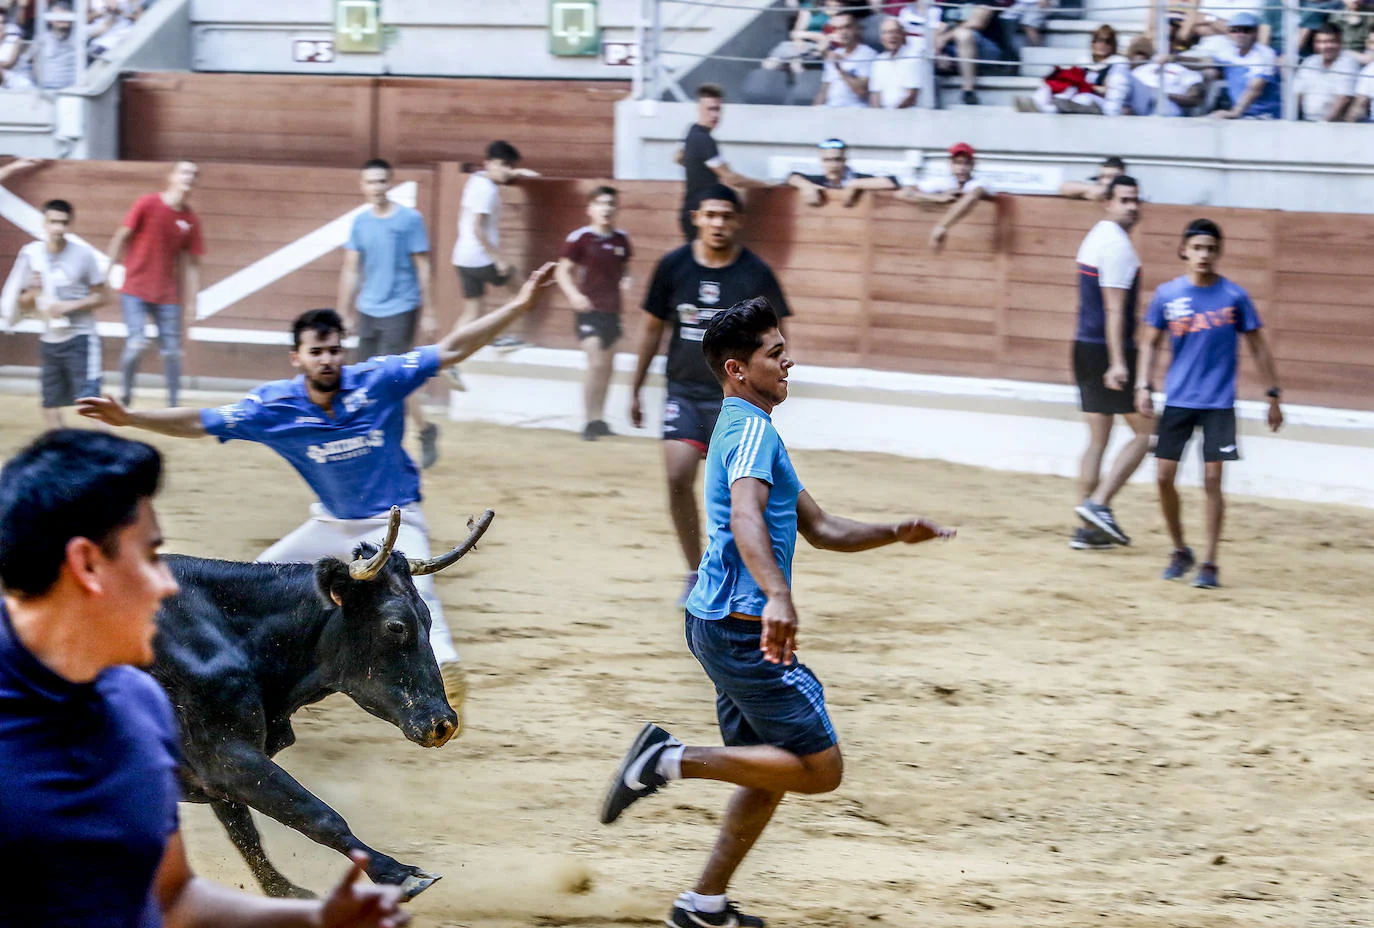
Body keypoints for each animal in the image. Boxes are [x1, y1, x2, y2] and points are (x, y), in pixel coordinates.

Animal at [151, 508, 494, 901]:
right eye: (396, 626)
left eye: (428, 618)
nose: (444, 724)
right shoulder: (225, 753)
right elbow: (315, 814)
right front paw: (400, 874)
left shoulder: (218, 770)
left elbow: (244, 832)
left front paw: (287, 893)